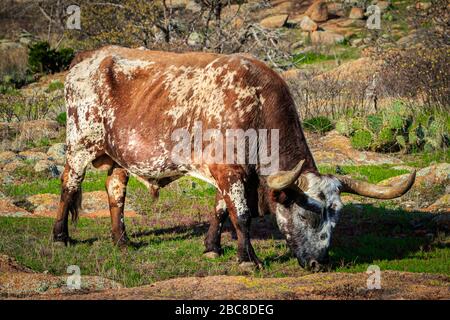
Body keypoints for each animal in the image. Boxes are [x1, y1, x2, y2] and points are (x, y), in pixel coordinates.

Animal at [54, 45, 416, 270]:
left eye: (336, 217)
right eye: (306, 215)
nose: (318, 263)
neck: (256, 104)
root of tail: (87, 57)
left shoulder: (228, 173)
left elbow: (220, 210)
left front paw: (212, 247)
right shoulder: (230, 172)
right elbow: (241, 215)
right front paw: (248, 259)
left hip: (118, 158)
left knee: (116, 193)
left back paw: (122, 241)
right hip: (80, 144)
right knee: (68, 184)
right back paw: (60, 237)